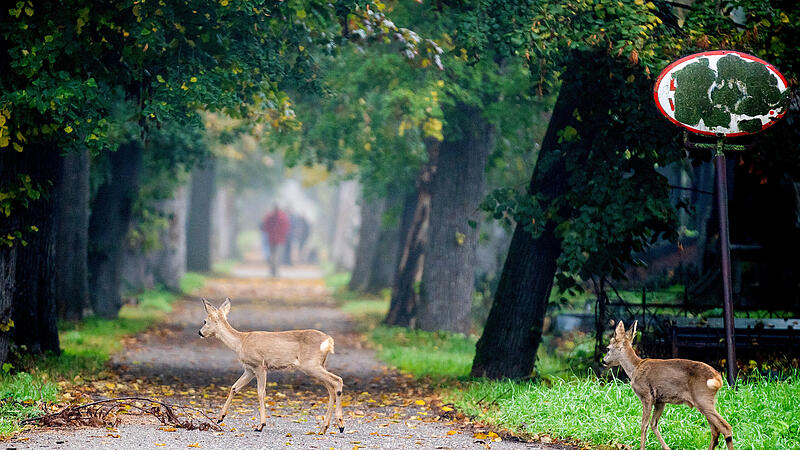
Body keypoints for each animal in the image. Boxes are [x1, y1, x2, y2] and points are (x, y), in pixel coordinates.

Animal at [199, 298, 344, 434]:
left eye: (205, 321)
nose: (200, 333)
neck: (240, 342)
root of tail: (329, 340)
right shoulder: (249, 369)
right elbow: (234, 387)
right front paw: (220, 417)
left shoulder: (259, 365)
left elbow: (261, 392)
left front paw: (260, 425)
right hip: (318, 365)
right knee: (331, 388)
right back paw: (324, 428)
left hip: (311, 365)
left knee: (337, 380)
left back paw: (341, 425)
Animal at [608, 320, 732, 450]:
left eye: (608, 348)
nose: (604, 361)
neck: (635, 368)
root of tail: (718, 378)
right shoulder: (660, 401)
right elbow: (653, 424)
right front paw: (667, 447)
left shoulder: (646, 395)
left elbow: (644, 424)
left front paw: (642, 448)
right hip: (707, 401)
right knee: (715, 430)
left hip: (702, 397)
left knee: (725, 427)